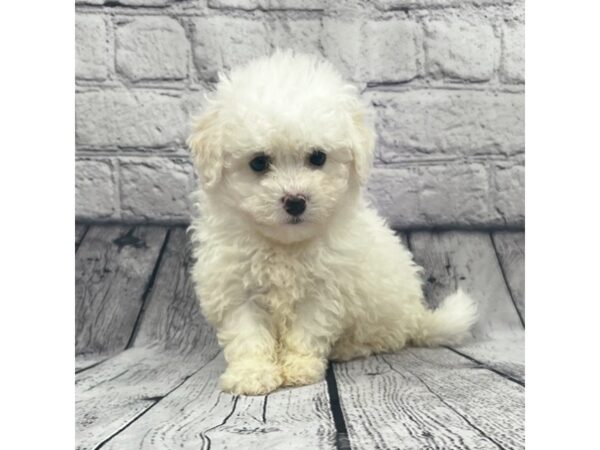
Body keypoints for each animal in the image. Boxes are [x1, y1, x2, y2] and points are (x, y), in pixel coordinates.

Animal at [188, 50, 478, 394]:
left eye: (318, 157)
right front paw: (251, 374)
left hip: (380, 309)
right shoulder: (236, 288)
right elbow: (248, 335)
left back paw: (347, 348)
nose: (296, 201)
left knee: (384, 337)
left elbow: (306, 331)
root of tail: (417, 316)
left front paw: (299, 367)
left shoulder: (324, 291)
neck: (285, 246)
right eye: (258, 162)